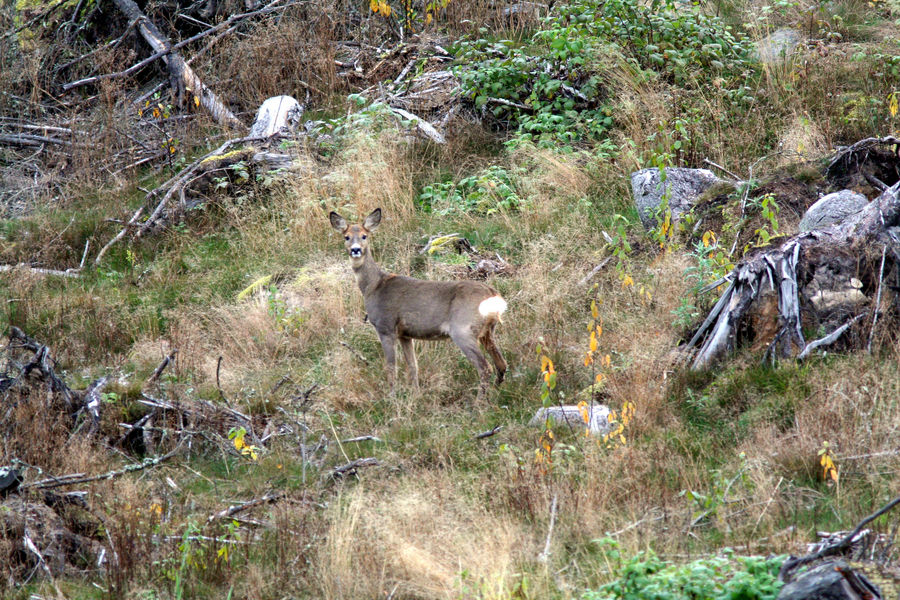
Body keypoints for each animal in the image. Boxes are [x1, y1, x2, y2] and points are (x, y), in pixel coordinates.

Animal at [328, 209, 506, 400]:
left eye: (364, 235)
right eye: (346, 236)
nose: (355, 250)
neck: (374, 286)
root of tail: (492, 294)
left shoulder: (386, 326)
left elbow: (391, 367)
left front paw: (392, 398)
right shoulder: (405, 334)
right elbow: (413, 365)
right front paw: (416, 394)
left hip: (463, 329)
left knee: (485, 367)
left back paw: (478, 402)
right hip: (487, 331)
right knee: (501, 363)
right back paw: (496, 393)